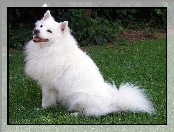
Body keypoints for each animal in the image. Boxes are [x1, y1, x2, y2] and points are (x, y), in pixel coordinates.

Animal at [24, 10, 154, 116]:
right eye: (41, 26)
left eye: (49, 31)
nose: (36, 30)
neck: (53, 49)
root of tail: (114, 100)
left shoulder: (48, 85)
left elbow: (46, 100)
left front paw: (42, 109)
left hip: (78, 97)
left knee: (90, 112)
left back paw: (74, 114)